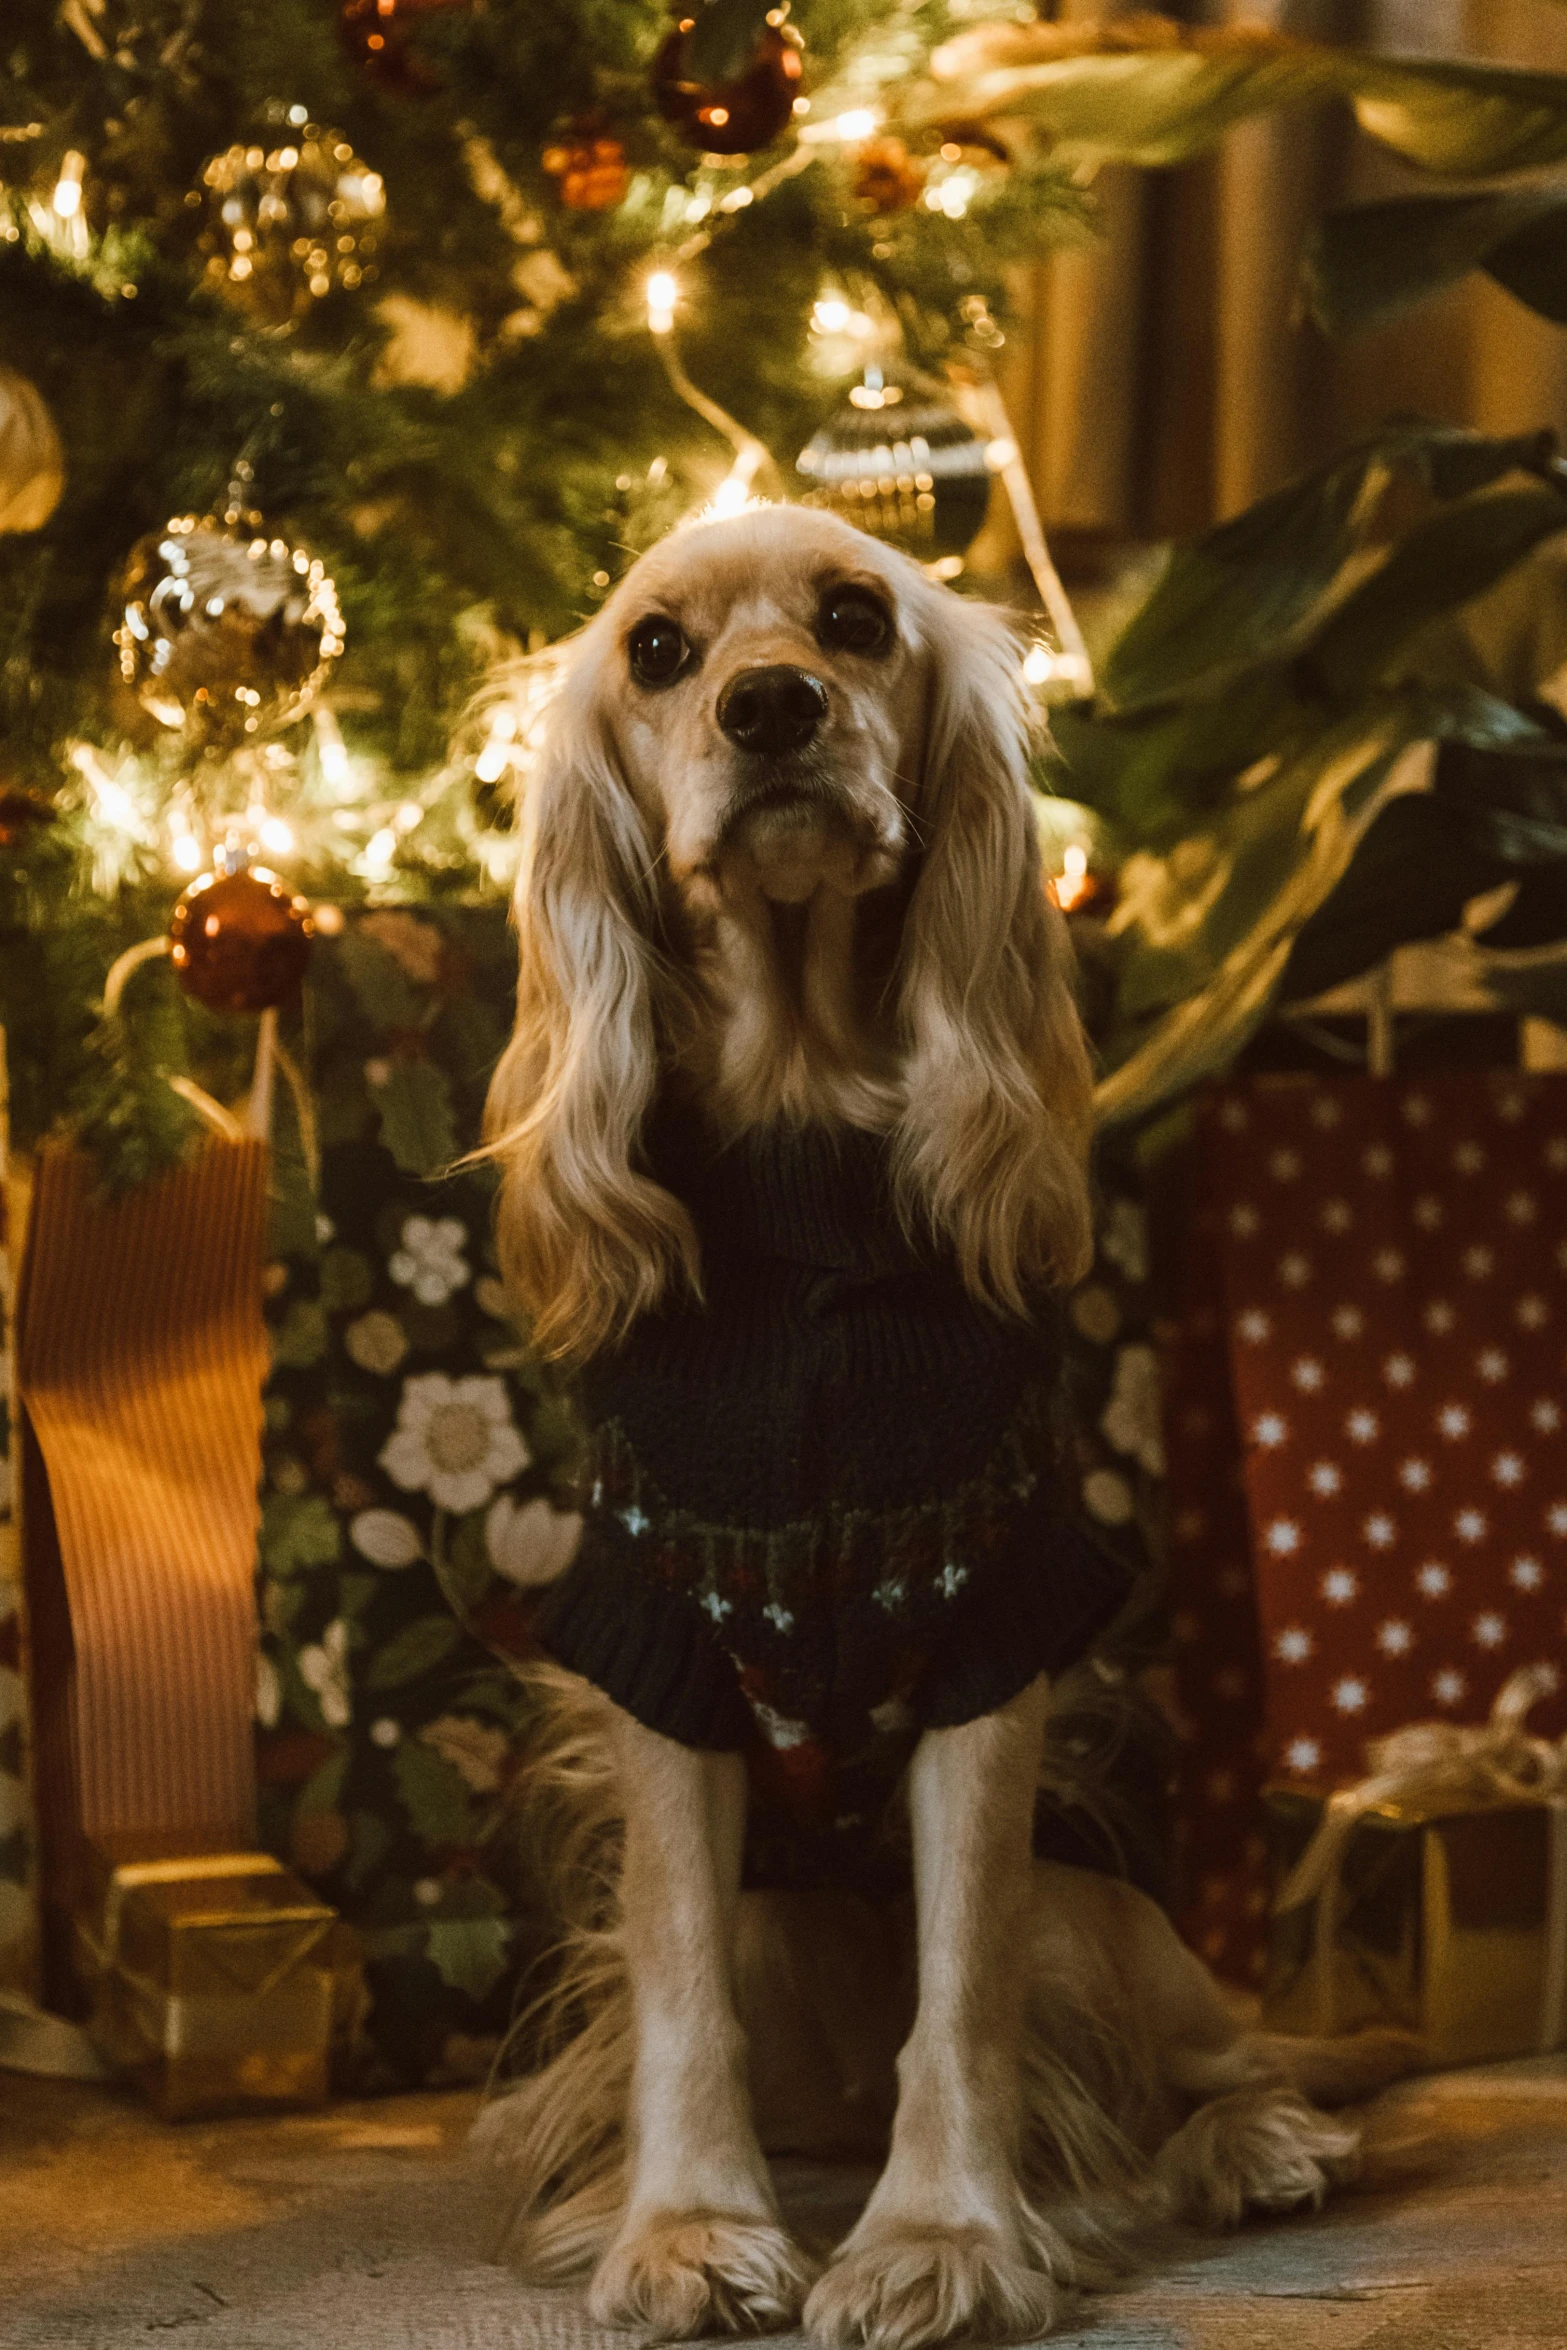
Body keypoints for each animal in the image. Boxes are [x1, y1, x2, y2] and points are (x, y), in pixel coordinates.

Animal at [479, 505, 1418, 2340]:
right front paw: (689, 2225)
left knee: (1213, 2065)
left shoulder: (989, 1638)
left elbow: (963, 1994)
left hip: (1106, 1920)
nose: (773, 706)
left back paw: (1254, 2148)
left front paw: (938, 2238)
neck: (801, 1133)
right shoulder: (665, 1658)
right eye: (656, 651)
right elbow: (681, 1988)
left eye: (854, 619)